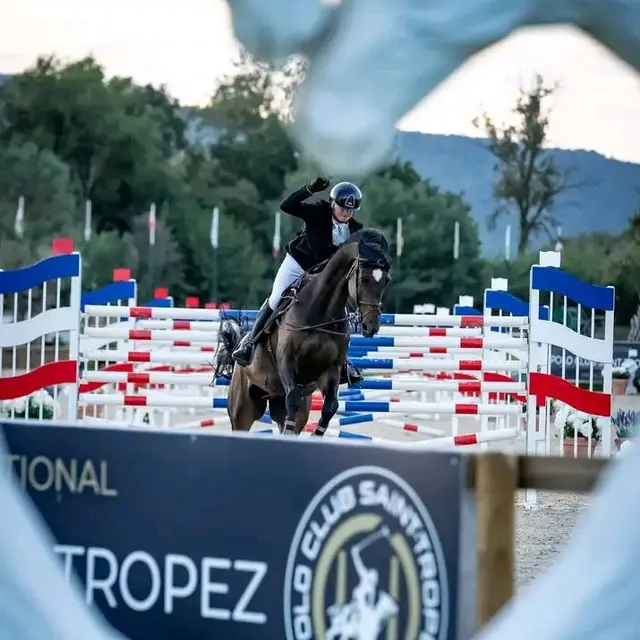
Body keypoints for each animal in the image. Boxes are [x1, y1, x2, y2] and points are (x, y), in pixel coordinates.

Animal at [214, 229, 390, 436]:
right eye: (363, 279)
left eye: (387, 280)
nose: (371, 326)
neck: (322, 312)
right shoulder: (287, 361)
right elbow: (293, 397)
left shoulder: (331, 369)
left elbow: (330, 406)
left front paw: (316, 434)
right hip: (243, 409)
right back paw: (243, 352)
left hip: (279, 401)